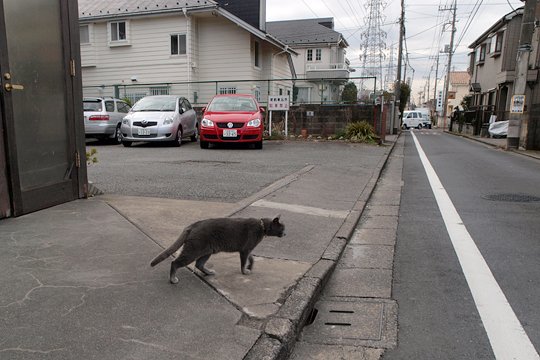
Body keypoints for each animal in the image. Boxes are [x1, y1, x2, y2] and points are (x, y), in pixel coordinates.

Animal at [150, 217, 284, 284]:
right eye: (282, 228)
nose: (285, 233)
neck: (262, 227)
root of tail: (193, 225)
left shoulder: (247, 249)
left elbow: (252, 258)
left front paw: (250, 267)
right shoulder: (245, 250)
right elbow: (243, 262)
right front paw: (244, 271)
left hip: (207, 251)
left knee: (199, 264)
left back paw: (209, 272)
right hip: (193, 250)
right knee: (175, 263)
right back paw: (173, 279)